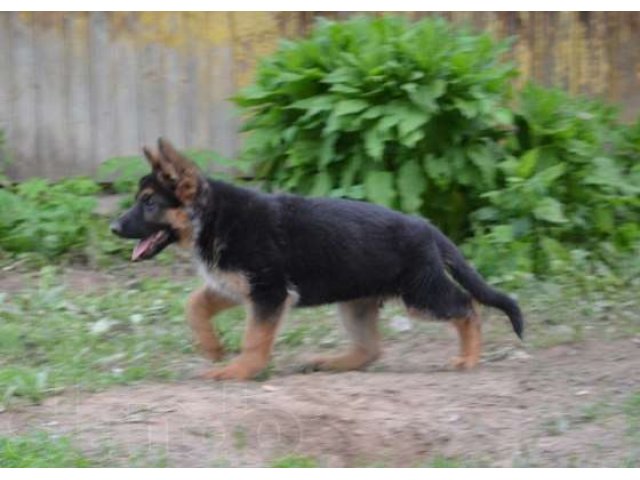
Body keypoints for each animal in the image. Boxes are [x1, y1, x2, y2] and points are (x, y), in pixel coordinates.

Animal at [110, 137, 524, 380]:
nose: (113, 227)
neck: (211, 216)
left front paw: (240, 369)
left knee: (467, 306)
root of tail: (425, 226)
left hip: (421, 295)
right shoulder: (235, 286)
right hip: (357, 303)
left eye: (149, 203)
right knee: (371, 349)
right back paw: (330, 363)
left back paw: (468, 358)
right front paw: (213, 349)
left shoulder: (269, 293)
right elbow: (194, 305)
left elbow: (254, 339)